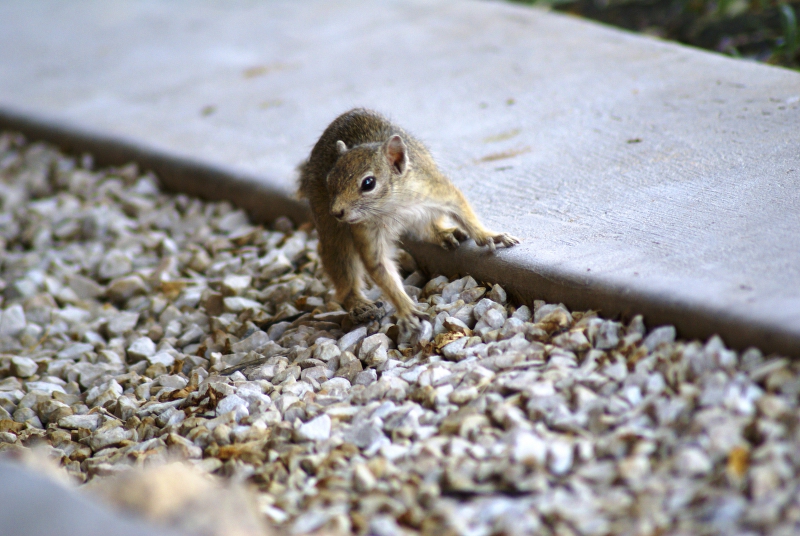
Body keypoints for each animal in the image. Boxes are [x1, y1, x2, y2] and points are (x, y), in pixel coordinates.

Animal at [297, 108, 519, 332]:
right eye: (329, 180)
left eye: (368, 183)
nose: (336, 212)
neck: (393, 206)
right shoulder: (365, 230)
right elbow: (381, 269)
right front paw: (405, 308)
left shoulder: (436, 189)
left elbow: (463, 211)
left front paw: (489, 235)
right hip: (332, 231)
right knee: (343, 270)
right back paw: (359, 304)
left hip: (425, 213)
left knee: (429, 228)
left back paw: (445, 233)